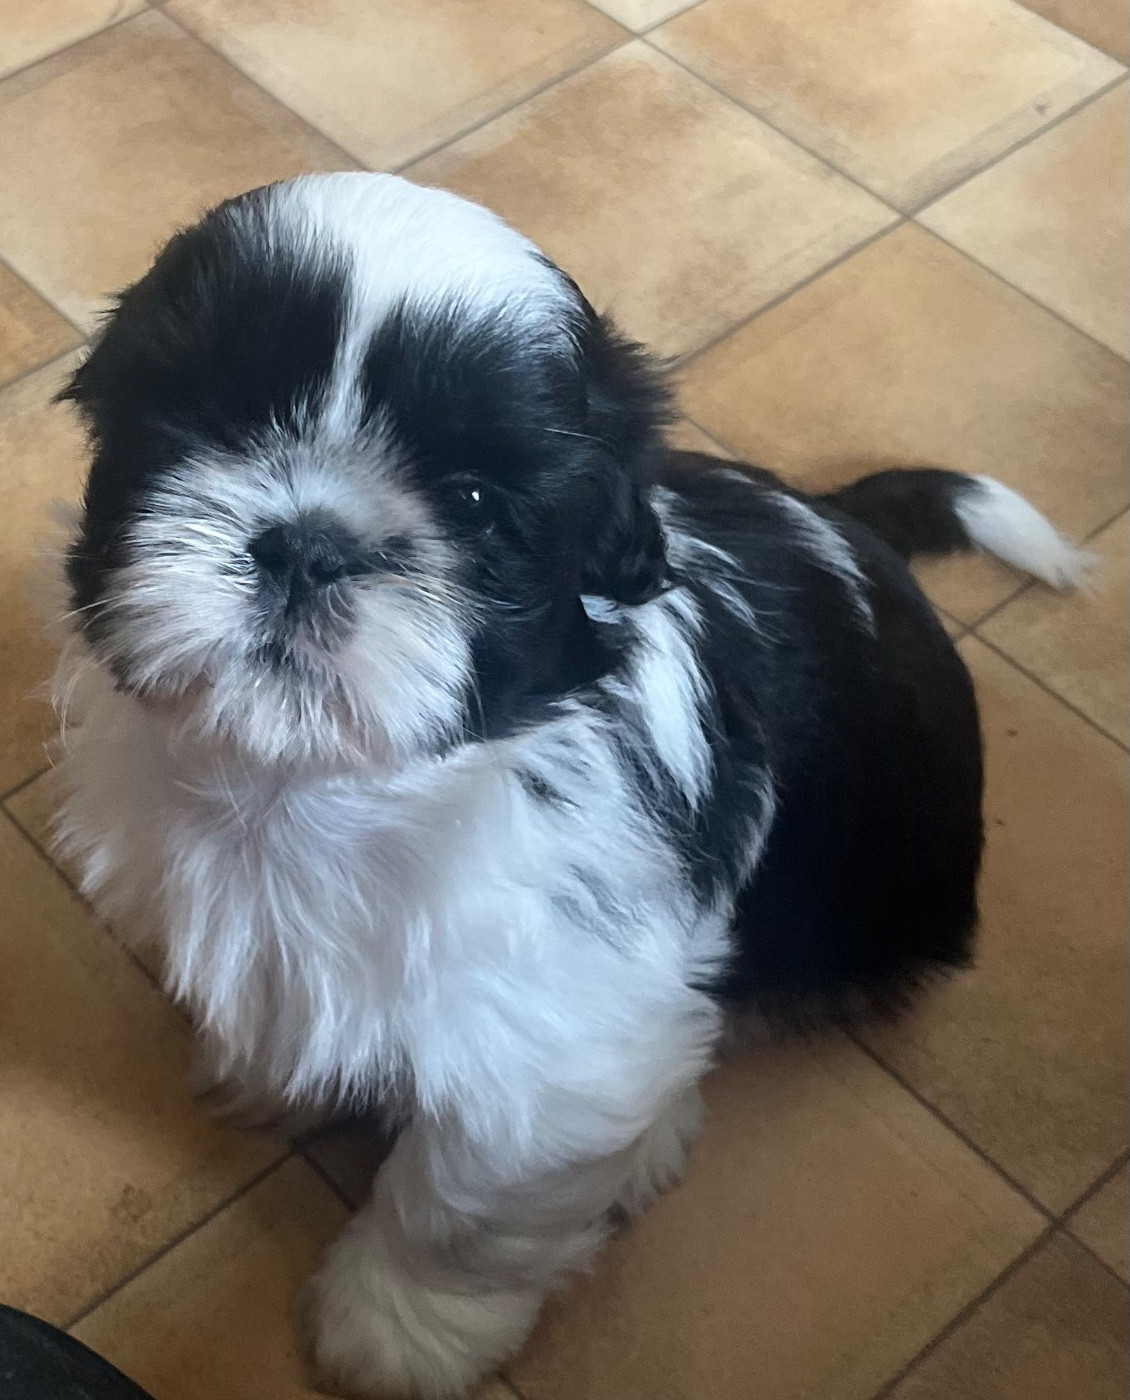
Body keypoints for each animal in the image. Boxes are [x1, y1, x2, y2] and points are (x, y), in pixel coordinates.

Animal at [49, 172, 1090, 1398]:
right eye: (207, 423)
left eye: (471, 499)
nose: (307, 542)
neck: (327, 786)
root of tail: (845, 524)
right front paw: (273, 1074)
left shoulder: (553, 1040)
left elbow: (466, 1206)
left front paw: (394, 1328)